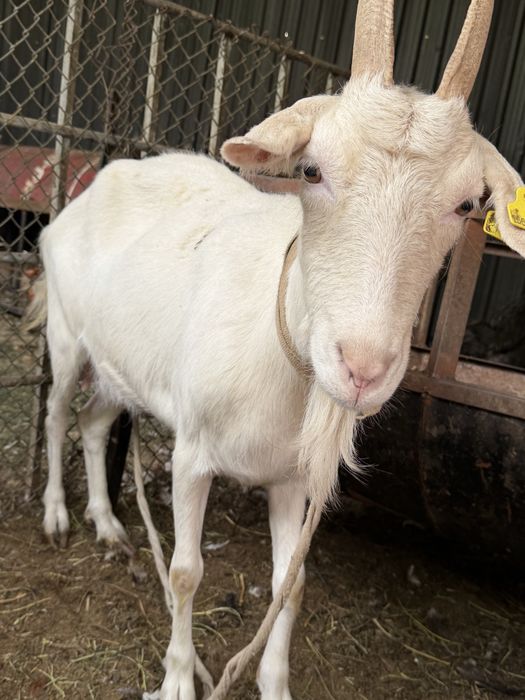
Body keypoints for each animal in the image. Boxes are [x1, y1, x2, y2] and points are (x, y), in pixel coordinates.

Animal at [35, 0, 525, 697]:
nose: (362, 369)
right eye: (311, 170)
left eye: (465, 204)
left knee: (94, 420)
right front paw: (178, 679)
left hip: (117, 365)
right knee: (55, 413)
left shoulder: (292, 480)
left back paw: (107, 526)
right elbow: (186, 572)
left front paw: (273, 683)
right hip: (66, 333)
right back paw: (56, 516)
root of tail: (97, 184)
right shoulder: (193, 453)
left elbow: (287, 588)